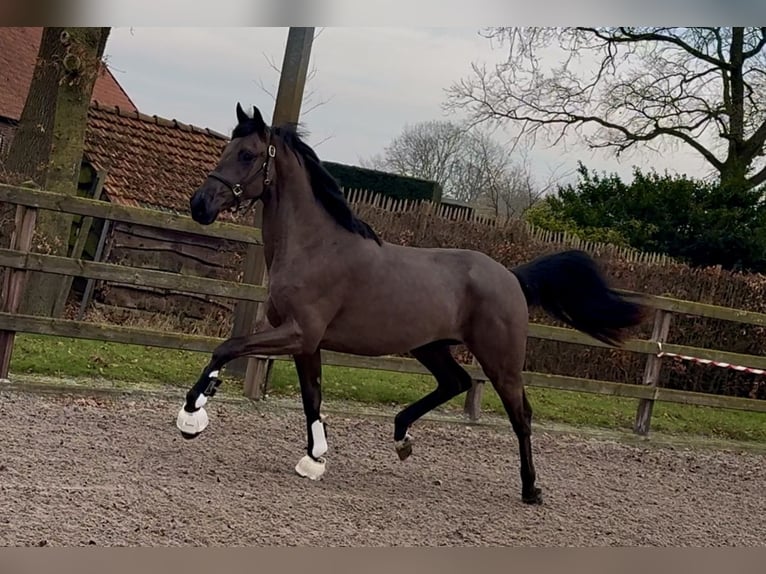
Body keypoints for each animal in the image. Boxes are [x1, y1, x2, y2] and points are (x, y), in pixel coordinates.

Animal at [175, 102, 647, 505]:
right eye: (227, 149)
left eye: (248, 154)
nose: (200, 205)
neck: (315, 247)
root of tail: (511, 276)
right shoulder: (307, 344)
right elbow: (312, 396)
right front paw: (314, 459)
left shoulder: (297, 333)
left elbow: (228, 347)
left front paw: (193, 413)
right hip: (429, 346)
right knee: (456, 382)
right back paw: (402, 436)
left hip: (500, 359)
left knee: (521, 414)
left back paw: (531, 490)